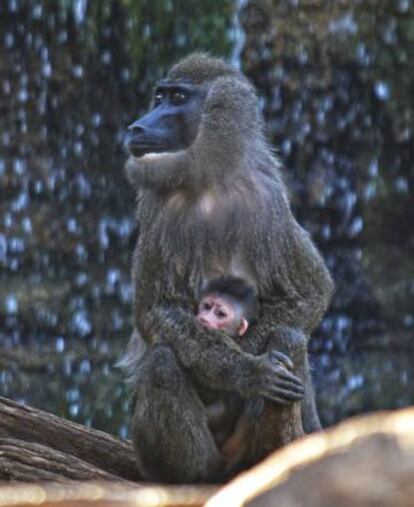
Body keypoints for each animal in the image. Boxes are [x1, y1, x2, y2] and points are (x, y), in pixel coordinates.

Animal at [120, 52, 334, 484]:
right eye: (159, 97)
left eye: (178, 98)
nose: (137, 126)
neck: (208, 181)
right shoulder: (157, 211)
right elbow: (156, 310)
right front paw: (249, 373)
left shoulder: (269, 203)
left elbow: (311, 292)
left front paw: (248, 362)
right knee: (163, 363)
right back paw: (192, 477)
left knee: (290, 337)